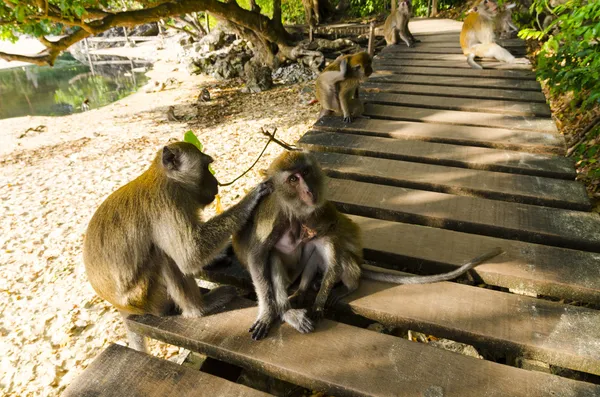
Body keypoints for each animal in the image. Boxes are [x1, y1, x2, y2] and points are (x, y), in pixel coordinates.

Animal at [83, 140, 270, 350]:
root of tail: (120, 307)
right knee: (164, 255)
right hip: (146, 297)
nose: (215, 182)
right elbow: (190, 253)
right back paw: (199, 309)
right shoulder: (169, 200)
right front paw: (250, 199)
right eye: (206, 167)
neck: (164, 176)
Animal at [233, 150, 502, 338]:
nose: (309, 191)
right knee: (274, 257)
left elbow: (330, 257)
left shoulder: (325, 231)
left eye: (306, 173)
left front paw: (318, 303)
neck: (296, 213)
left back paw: (340, 288)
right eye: (293, 179)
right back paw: (291, 305)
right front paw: (268, 313)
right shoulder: (275, 216)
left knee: (332, 258)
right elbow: (258, 257)